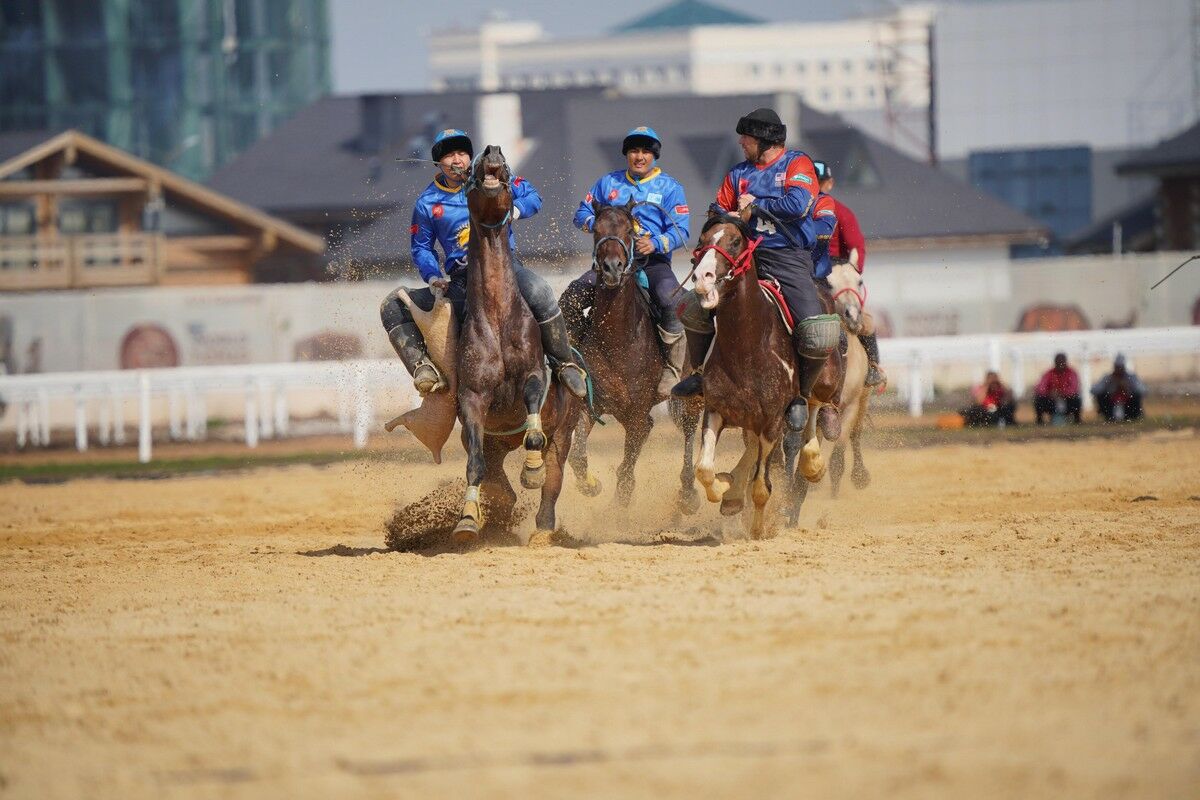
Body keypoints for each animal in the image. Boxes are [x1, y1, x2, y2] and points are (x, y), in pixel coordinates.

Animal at [451, 145, 580, 544]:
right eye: (471, 170)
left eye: (507, 168)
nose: (492, 149)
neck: (497, 316)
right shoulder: (473, 399)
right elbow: (474, 467)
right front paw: (467, 520)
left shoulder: (534, 376)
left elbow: (534, 436)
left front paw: (531, 469)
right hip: (494, 444)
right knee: (498, 482)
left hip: (565, 432)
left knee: (553, 480)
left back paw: (543, 529)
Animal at [561, 203, 700, 510]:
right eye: (597, 229)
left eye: (628, 229)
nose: (612, 268)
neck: (618, 342)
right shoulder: (591, 404)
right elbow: (577, 458)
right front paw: (591, 485)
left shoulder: (637, 415)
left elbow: (625, 474)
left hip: (692, 396)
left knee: (689, 432)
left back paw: (688, 493)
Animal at [686, 215, 844, 537]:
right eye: (703, 240)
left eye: (735, 241)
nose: (702, 278)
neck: (747, 347)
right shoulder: (715, 410)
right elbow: (704, 469)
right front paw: (725, 487)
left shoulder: (772, 421)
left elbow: (762, 487)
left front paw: (758, 531)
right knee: (751, 448)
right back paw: (734, 494)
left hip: (822, 382)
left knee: (812, 407)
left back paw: (812, 462)